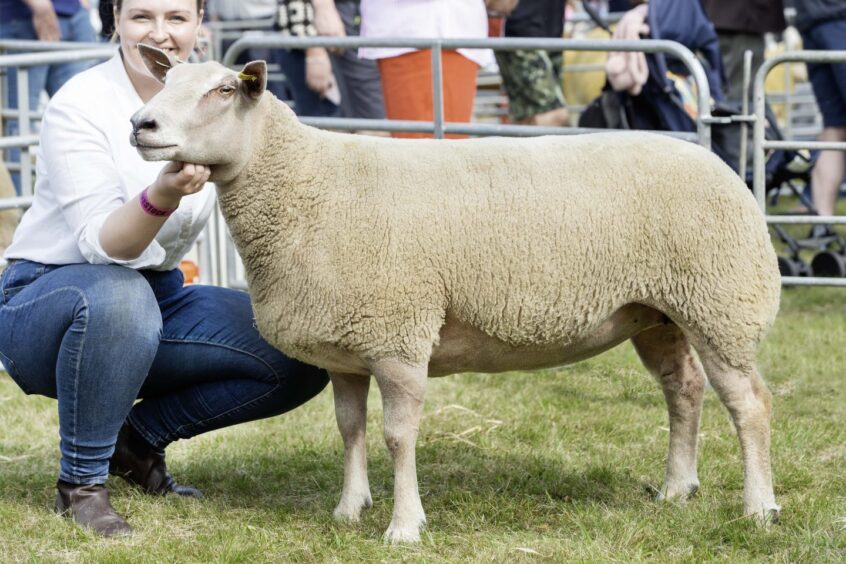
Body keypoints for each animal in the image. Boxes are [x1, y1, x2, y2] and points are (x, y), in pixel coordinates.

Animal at [129, 47, 784, 540]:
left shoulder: (398, 334)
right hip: (658, 313)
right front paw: (347, 510)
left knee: (749, 403)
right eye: (166, 81)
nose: (142, 124)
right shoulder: (346, 346)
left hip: (721, 304)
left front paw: (403, 527)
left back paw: (758, 508)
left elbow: (397, 436)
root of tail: (719, 163)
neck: (307, 184)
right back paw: (676, 489)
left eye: (222, 90)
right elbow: (349, 429)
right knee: (684, 391)